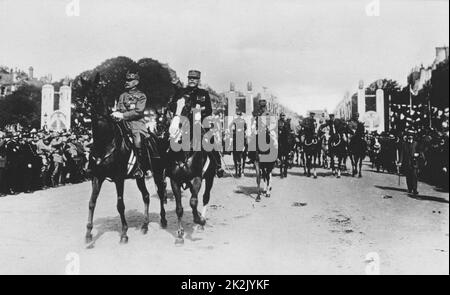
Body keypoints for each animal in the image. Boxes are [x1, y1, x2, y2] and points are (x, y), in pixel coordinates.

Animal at [80, 75, 168, 246]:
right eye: (84, 92)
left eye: (96, 92)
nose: (84, 112)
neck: (105, 142)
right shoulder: (97, 177)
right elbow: (91, 203)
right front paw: (88, 234)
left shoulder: (119, 178)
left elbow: (120, 205)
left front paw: (124, 234)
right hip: (140, 177)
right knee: (146, 196)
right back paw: (145, 225)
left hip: (158, 172)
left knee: (161, 193)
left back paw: (163, 219)